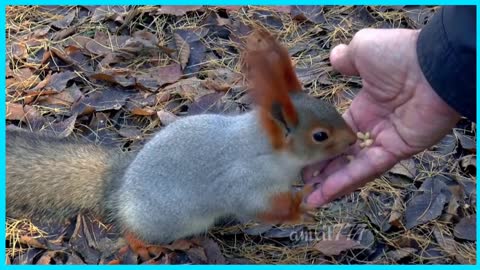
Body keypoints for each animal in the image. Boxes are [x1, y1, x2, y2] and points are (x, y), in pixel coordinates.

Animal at [5, 30, 356, 252]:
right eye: (320, 135)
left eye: (331, 110)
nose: (353, 140)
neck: (265, 150)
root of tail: (118, 189)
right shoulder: (242, 182)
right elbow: (256, 207)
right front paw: (298, 209)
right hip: (162, 220)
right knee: (133, 230)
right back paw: (141, 246)